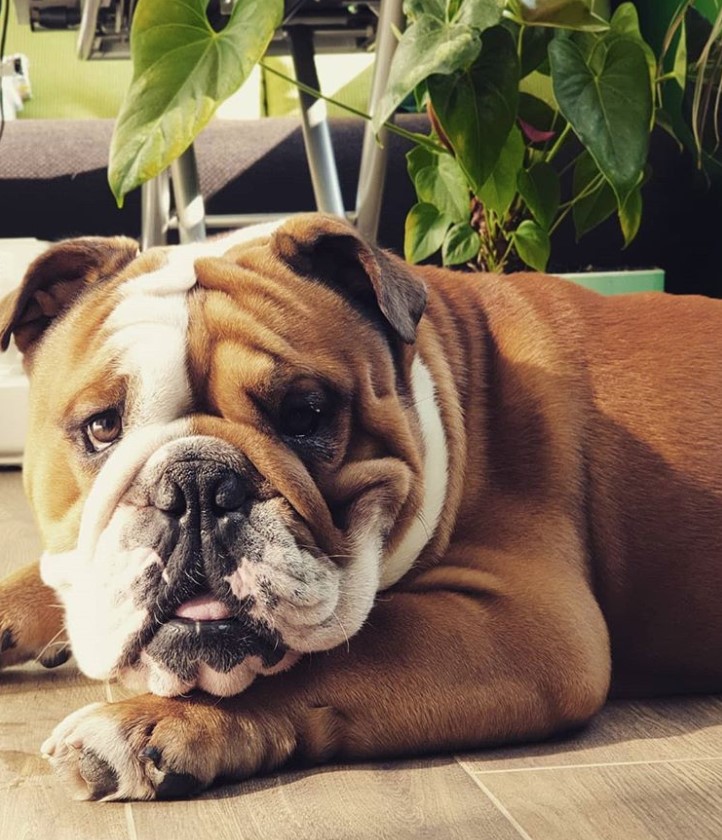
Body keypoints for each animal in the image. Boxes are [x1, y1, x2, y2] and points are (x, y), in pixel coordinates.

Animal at [1, 212, 720, 800]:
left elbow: (336, 657)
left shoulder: (534, 627)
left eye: (306, 414)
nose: (198, 485)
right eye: (101, 427)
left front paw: (149, 724)